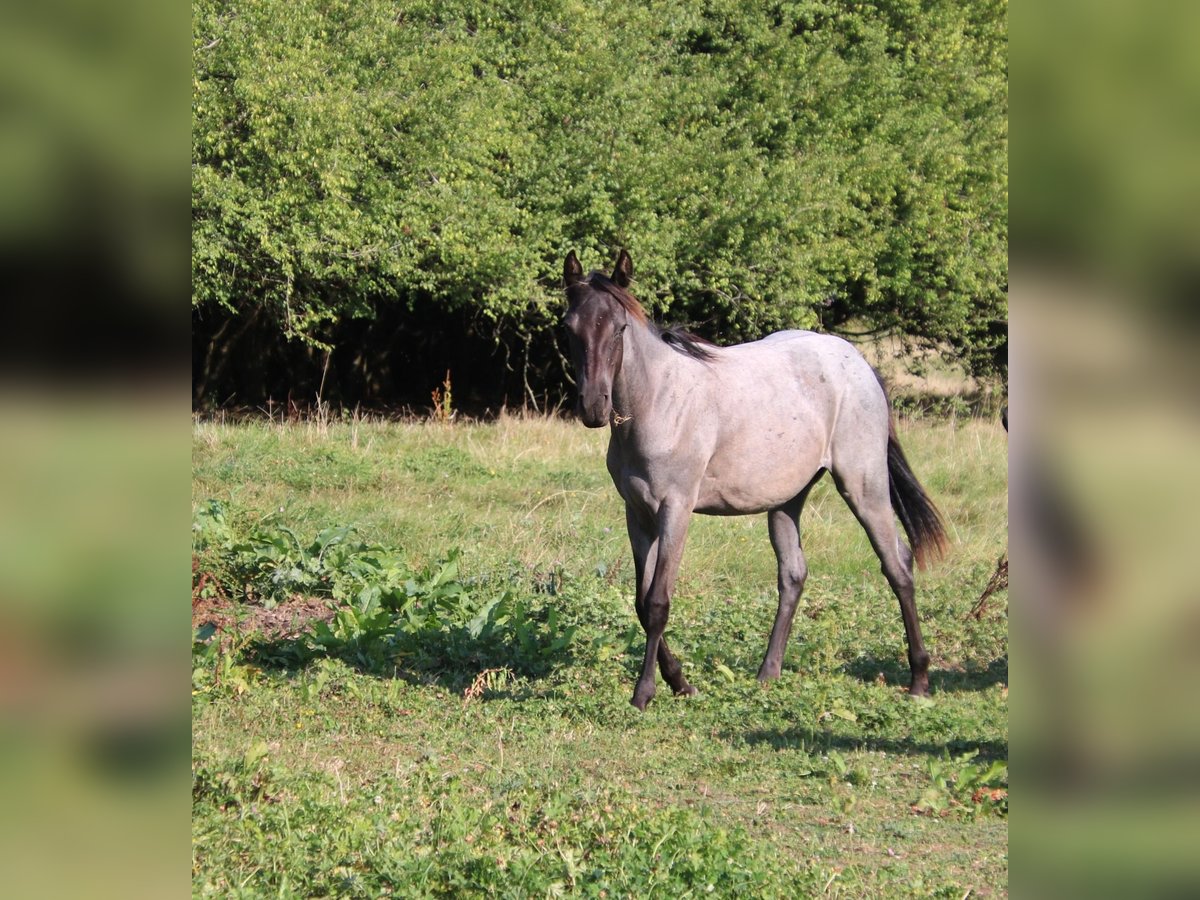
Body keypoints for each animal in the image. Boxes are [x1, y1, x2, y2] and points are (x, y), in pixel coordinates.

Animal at [562, 249, 948, 710]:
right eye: (569, 329)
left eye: (619, 328)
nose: (593, 407)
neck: (659, 401)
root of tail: (858, 362)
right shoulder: (637, 514)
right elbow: (640, 601)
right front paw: (681, 682)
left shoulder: (675, 509)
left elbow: (657, 602)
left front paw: (644, 693)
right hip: (787, 499)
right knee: (794, 574)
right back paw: (768, 673)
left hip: (863, 484)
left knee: (897, 564)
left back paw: (920, 680)